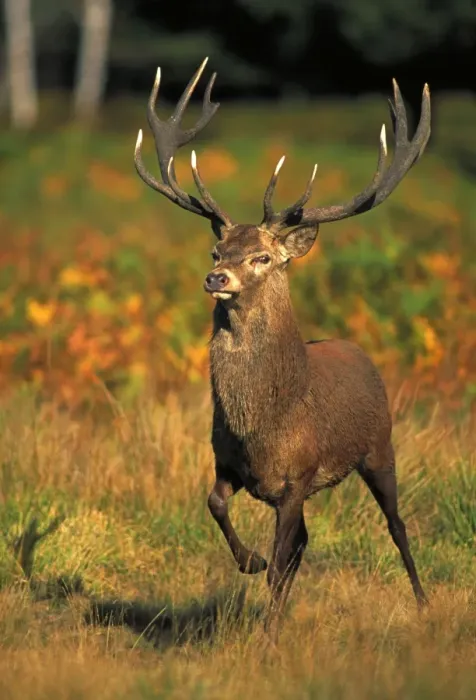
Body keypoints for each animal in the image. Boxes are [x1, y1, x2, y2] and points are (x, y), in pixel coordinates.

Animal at [134, 58, 431, 645]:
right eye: (217, 249)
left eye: (263, 257)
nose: (216, 277)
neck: (264, 427)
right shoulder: (230, 463)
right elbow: (219, 506)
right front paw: (247, 563)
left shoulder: (298, 476)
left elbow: (279, 562)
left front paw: (267, 635)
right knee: (306, 542)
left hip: (380, 447)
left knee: (397, 525)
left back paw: (423, 601)